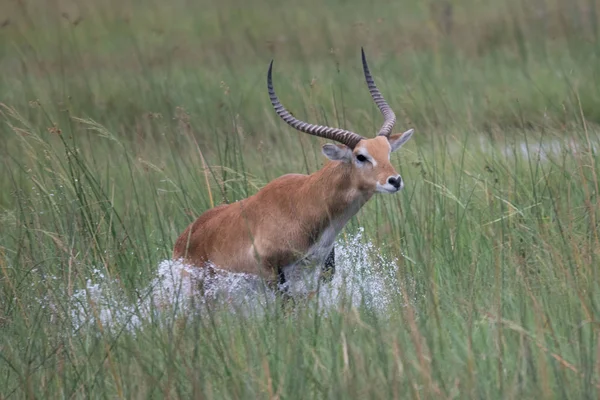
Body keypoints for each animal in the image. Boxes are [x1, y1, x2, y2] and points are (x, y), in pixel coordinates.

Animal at [173, 48, 414, 296]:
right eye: (361, 156)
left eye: (387, 152)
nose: (395, 180)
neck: (305, 203)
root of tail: (184, 238)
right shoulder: (273, 274)